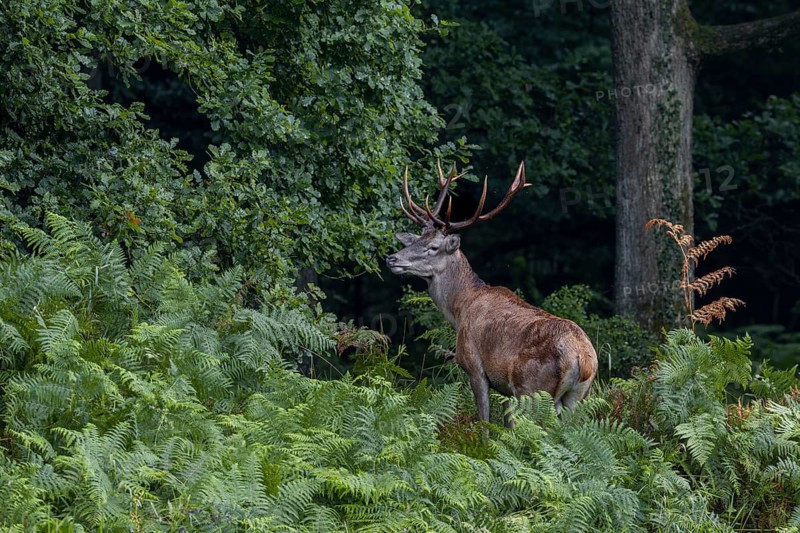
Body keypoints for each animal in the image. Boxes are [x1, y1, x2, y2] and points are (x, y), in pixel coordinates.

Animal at [386, 161, 598, 427]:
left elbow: (485, 422)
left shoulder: (474, 366)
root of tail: (581, 358)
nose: (391, 259)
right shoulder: (504, 388)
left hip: (532, 389)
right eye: (414, 241)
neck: (460, 309)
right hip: (578, 396)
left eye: (433, 247)